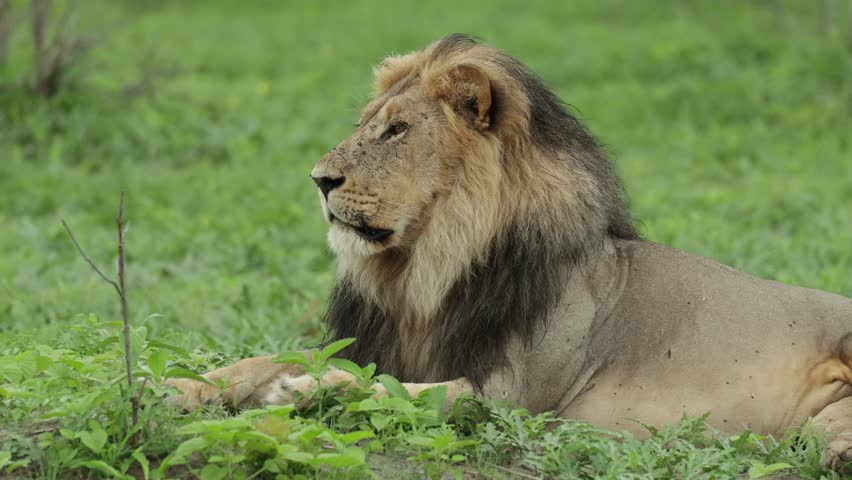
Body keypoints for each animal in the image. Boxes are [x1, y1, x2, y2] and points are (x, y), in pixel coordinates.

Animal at [169, 34, 852, 470]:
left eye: (396, 130)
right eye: (367, 123)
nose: (319, 179)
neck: (423, 272)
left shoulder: (513, 397)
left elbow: (399, 391)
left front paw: (303, 393)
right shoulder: (377, 342)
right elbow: (258, 359)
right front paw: (177, 387)